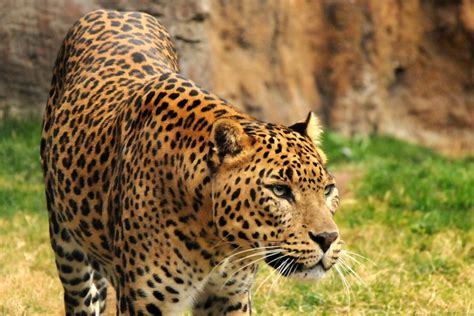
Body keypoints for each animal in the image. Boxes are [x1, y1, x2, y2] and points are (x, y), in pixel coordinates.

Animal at [40, 8, 342, 314]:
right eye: (279, 190)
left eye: (328, 190)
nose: (328, 239)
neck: (215, 241)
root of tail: (116, 10)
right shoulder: (142, 301)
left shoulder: (229, 296)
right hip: (66, 246)